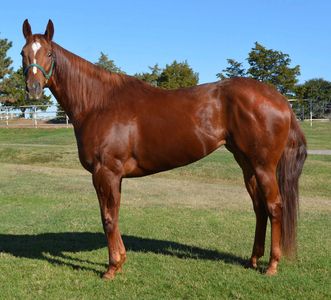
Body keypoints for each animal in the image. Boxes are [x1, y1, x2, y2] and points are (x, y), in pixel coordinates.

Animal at [20, 19, 306, 280]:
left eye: (49, 53)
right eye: (23, 54)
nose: (33, 89)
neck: (98, 103)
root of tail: (280, 99)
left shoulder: (105, 173)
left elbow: (108, 218)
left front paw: (111, 268)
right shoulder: (114, 176)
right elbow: (115, 215)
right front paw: (120, 260)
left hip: (263, 166)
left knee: (274, 207)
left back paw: (272, 265)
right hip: (246, 163)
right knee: (259, 208)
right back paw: (253, 260)